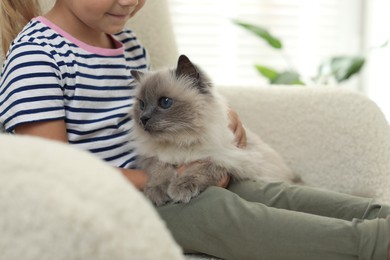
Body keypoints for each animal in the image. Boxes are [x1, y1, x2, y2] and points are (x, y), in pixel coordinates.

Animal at [131, 55, 302, 206]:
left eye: (165, 102)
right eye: (142, 104)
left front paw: (179, 189)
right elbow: (159, 171)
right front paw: (157, 193)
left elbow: (198, 170)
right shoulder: (152, 157)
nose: (143, 119)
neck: (181, 140)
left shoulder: (222, 158)